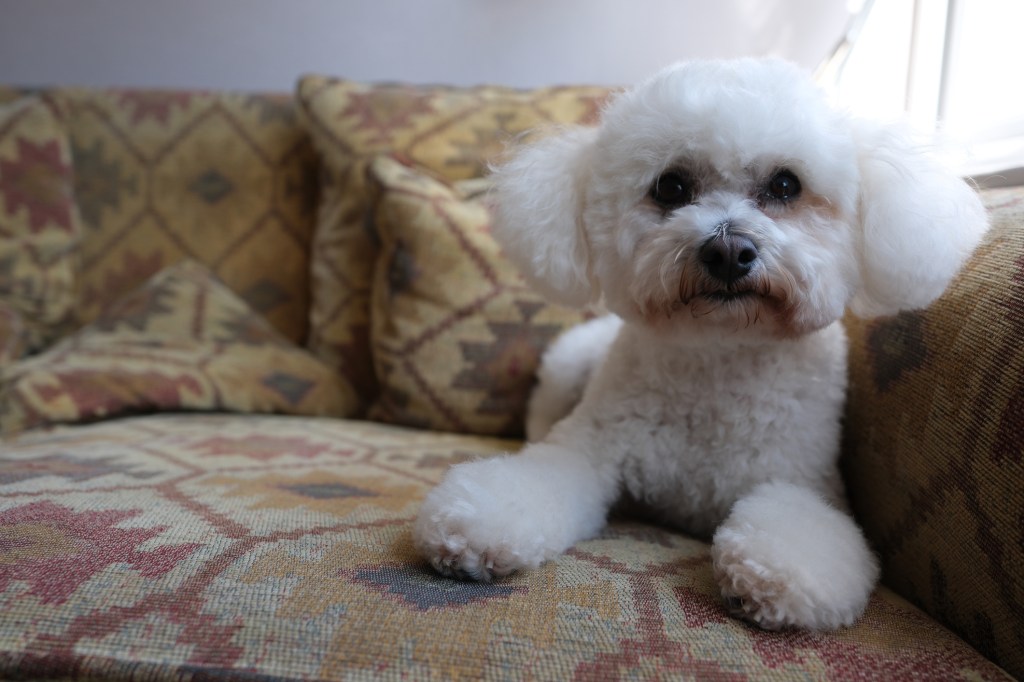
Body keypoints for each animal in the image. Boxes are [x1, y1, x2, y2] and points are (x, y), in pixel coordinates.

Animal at [411, 58, 987, 626]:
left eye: (786, 185)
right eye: (670, 187)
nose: (729, 251)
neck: (718, 357)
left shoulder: (801, 478)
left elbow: (796, 531)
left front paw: (775, 576)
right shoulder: (590, 450)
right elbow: (535, 478)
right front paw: (475, 527)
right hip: (566, 370)